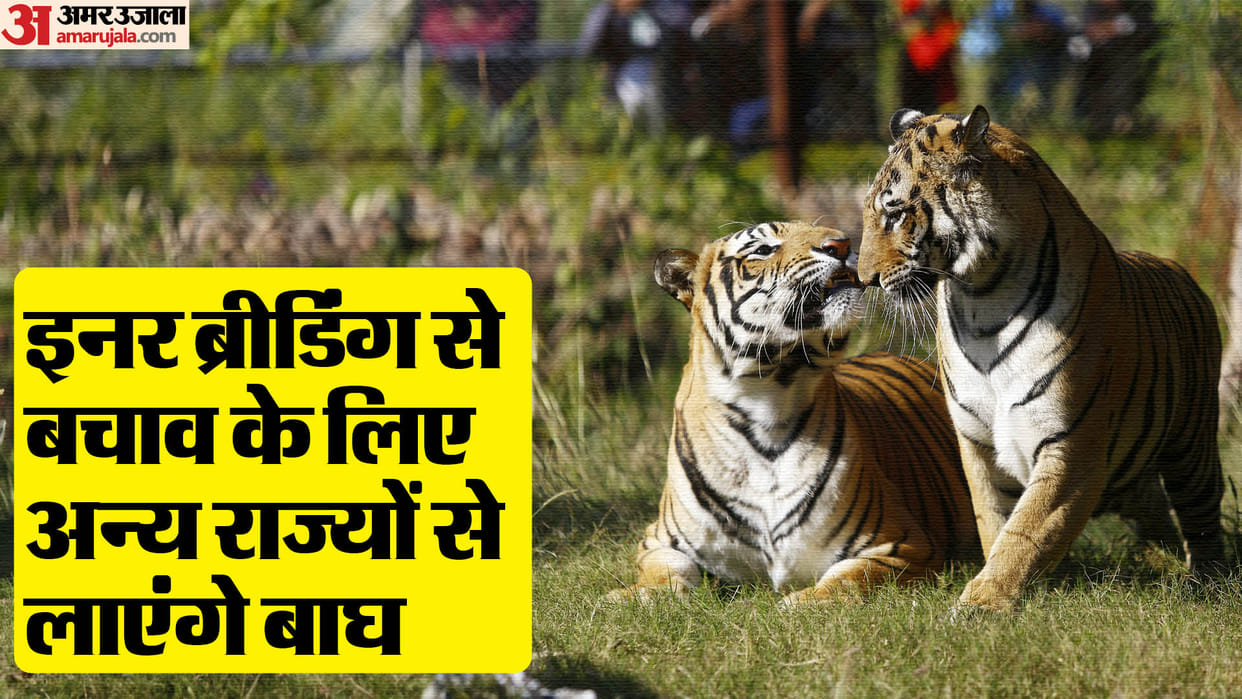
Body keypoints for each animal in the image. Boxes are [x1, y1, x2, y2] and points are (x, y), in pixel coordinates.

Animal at [610, 221, 978, 603]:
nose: (842, 244)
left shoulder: (901, 543)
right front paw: (626, 597)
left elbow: (844, 579)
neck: (764, 401)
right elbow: (668, 572)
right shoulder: (657, 541)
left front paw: (797, 602)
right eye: (763, 249)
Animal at [857, 105, 1227, 613]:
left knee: (1203, 516)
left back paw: (1208, 584)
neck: (981, 303)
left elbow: (1026, 531)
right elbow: (995, 522)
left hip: (1193, 447)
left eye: (895, 212)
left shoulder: (1070, 442)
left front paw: (981, 603)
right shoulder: (977, 442)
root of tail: (1180, 270)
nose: (862, 278)